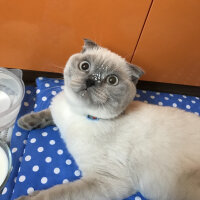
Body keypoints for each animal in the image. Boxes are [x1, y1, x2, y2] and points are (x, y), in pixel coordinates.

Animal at [16, 39, 200, 200]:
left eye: (112, 80)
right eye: (84, 66)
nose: (91, 81)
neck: (79, 113)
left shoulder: (105, 179)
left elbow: (54, 193)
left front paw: (26, 197)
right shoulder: (57, 111)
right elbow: (46, 114)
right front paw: (24, 122)